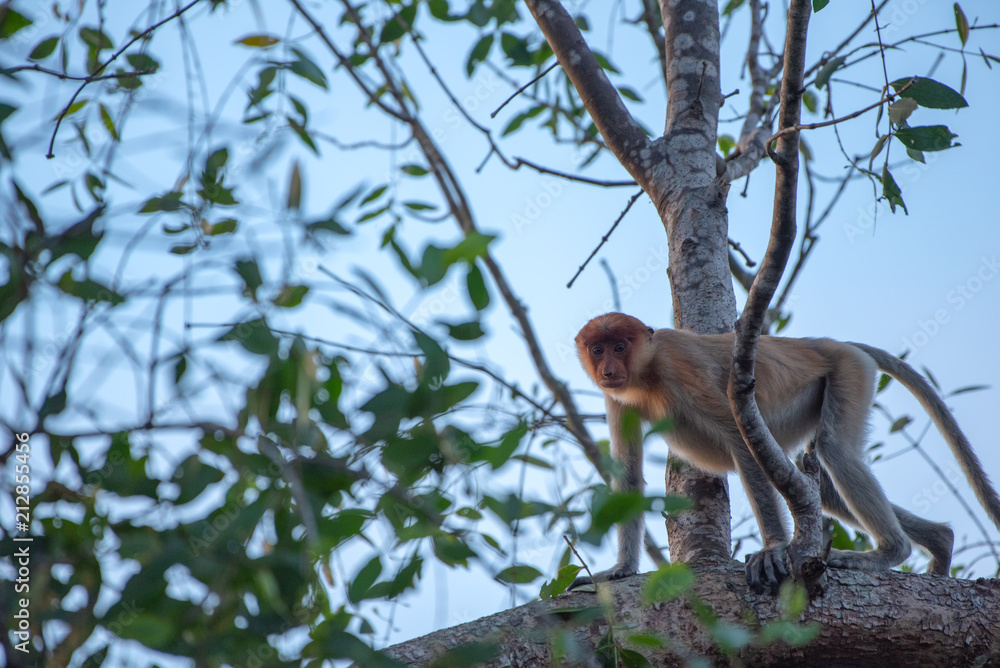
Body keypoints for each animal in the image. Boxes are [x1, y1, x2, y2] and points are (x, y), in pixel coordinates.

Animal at [572, 312, 1000, 588]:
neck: (647, 372)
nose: (608, 369)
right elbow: (628, 476)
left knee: (835, 452)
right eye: (598, 349)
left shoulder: (680, 366)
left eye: (620, 346)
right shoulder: (618, 399)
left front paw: (773, 550)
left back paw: (889, 552)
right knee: (825, 488)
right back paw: (941, 543)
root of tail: (833, 344)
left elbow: (740, 439)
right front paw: (620, 570)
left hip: (847, 371)